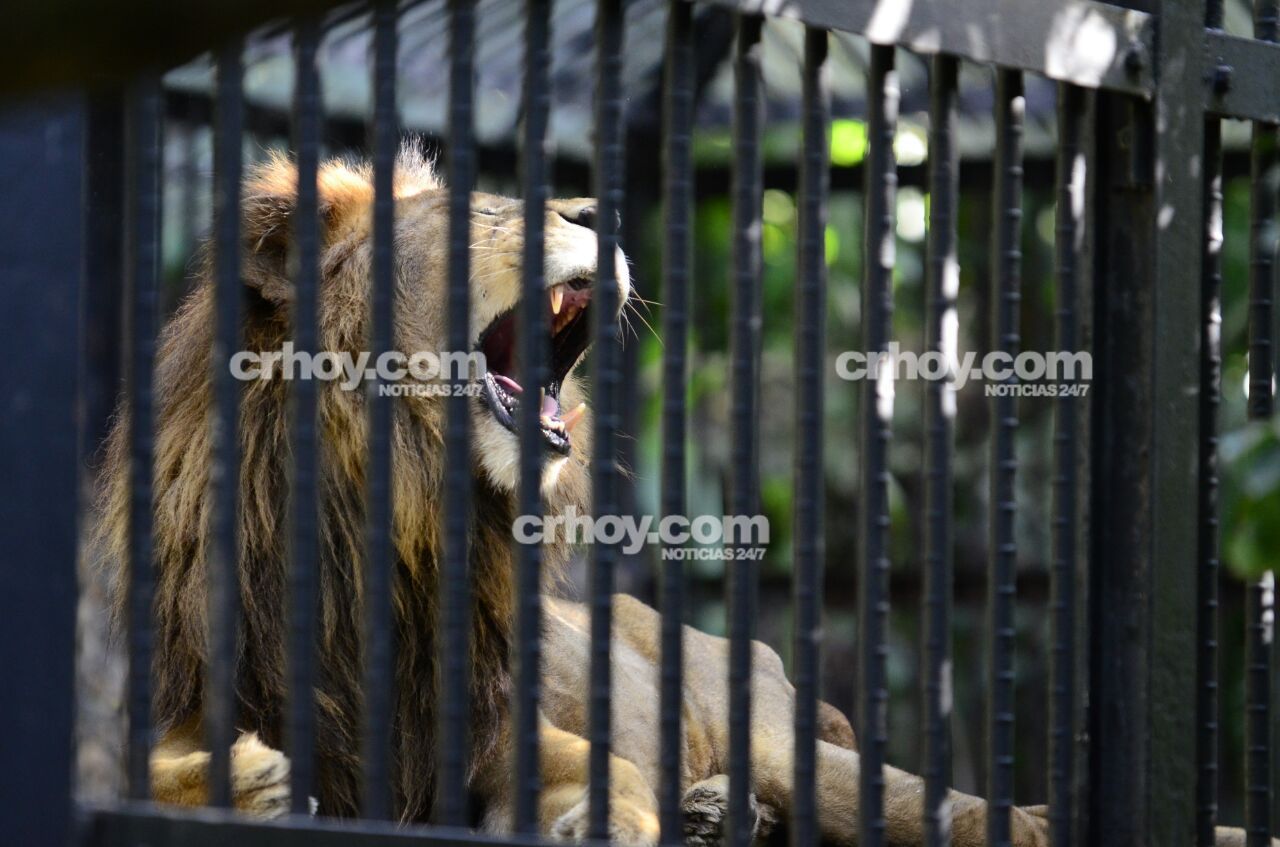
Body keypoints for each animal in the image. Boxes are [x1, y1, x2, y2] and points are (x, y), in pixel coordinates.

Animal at [95, 148, 1262, 847]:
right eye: (486, 213)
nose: (589, 209)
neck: (392, 527)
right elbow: (129, 769)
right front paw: (242, 779)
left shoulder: (497, 717)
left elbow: (597, 762)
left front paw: (609, 816)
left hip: (787, 738)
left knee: (956, 811)